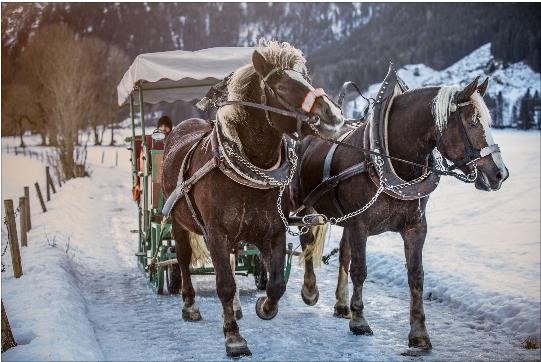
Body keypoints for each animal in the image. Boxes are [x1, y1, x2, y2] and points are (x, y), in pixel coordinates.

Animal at [160, 41, 342, 358]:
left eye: (306, 78)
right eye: (281, 86)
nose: (332, 114)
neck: (250, 171)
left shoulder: (273, 231)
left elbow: (276, 284)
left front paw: (264, 308)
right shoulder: (216, 234)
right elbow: (224, 284)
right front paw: (234, 338)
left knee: (234, 262)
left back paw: (235, 308)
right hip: (179, 224)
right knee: (182, 260)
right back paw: (190, 305)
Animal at [294, 76, 508, 350]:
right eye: (472, 121)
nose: (500, 173)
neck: (387, 159)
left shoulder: (415, 227)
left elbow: (416, 276)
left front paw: (419, 333)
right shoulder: (360, 225)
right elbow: (360, 270)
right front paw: (360, 321)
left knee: (342, 254)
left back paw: (341, 304)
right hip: (304, 206)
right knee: (306, 243)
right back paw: (309, 291)